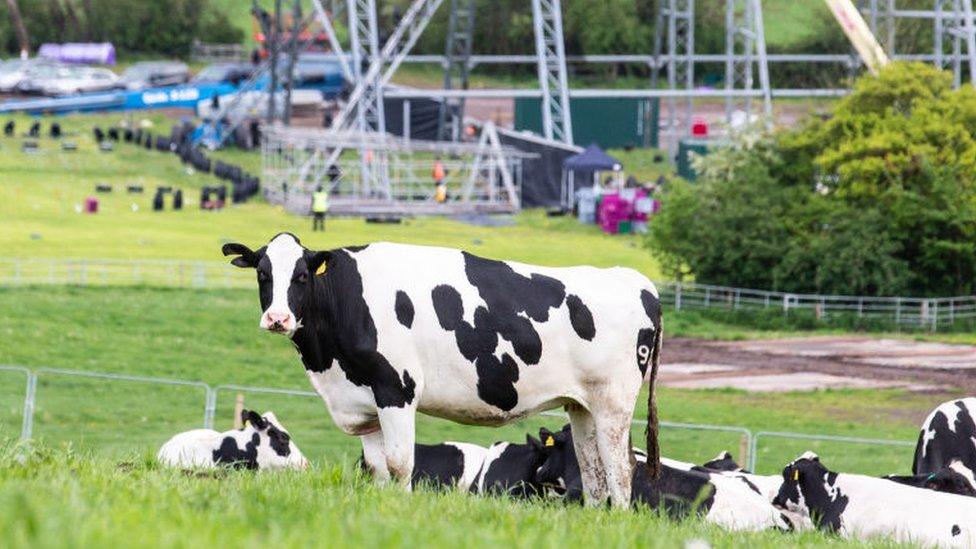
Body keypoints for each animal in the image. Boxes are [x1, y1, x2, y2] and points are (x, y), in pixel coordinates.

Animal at [221, 235, 664, 506]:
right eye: (262, 274)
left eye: (300, 276)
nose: (277, 319)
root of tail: (635, 281)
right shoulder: (364, 404)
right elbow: (377, 468)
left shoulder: (397, 389)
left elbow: (400, 463)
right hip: (582, 406)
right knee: (594, 472)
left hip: (613, 403)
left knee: (621, 470)